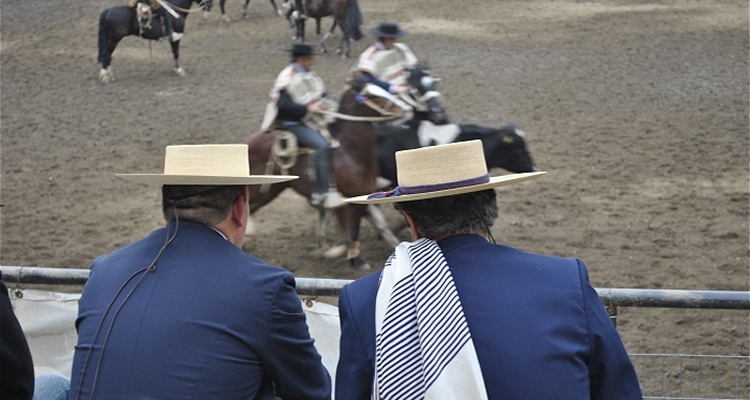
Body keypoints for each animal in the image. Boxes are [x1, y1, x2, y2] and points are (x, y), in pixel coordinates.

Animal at [247, 76, 412, 268]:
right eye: (372, 96)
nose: (406, 110)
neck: (349, 153)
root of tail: (247, 142)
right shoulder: (347, 200)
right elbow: (349, 231)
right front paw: (346, 256)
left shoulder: (360, 195)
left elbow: (364, 226)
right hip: (260, 188)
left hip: (271, 190)